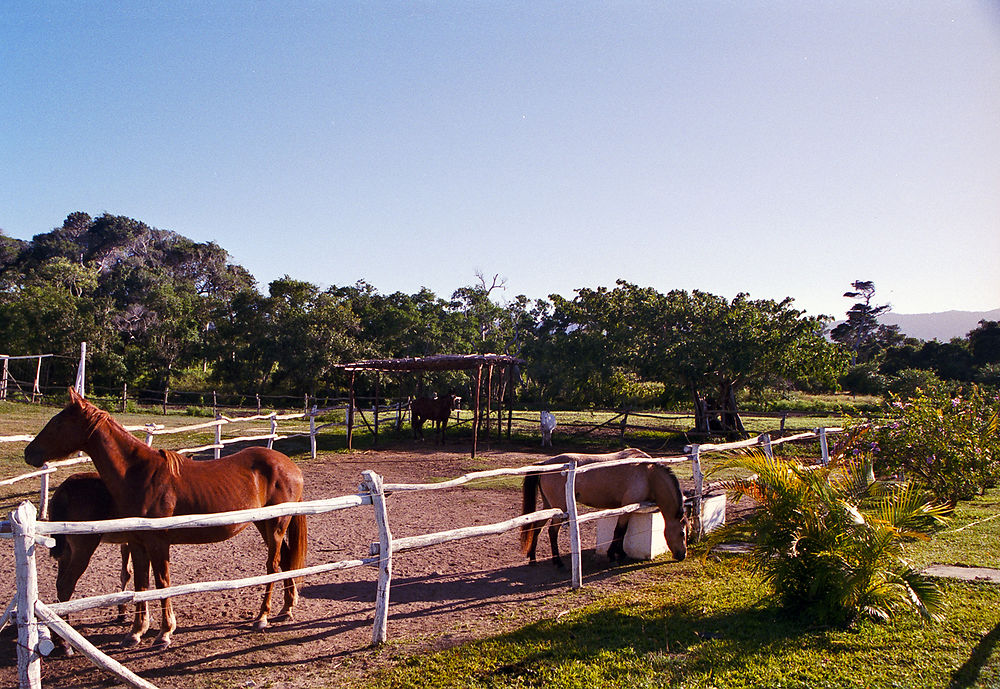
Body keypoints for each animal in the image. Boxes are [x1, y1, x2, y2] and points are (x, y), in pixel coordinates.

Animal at [26, 390, 308, 648]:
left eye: (58, 423)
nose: (29, 453)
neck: (139, 475)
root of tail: (289, 466)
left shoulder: (158, 543)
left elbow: (162, 583)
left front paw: (164, 632)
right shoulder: (137, 543)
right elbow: (140, 584)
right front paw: (136, 632)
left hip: (276, 525)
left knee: (273, 566)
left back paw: (262, 617)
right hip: (264, 524)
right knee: (284, 561)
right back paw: (286, 609)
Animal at [516, 448, 688, 568]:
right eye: (682, 533)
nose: (682, 555)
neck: (648, 473)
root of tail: (545, 464)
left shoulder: (629, 508)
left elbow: (623, 531)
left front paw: (620, 553)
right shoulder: (627, 506)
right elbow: (619, 531)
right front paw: (613, 556)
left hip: (549, 506)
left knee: (537, 529)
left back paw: (533, 559)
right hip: (559, 508)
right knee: (552, 532)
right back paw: (558, 562)